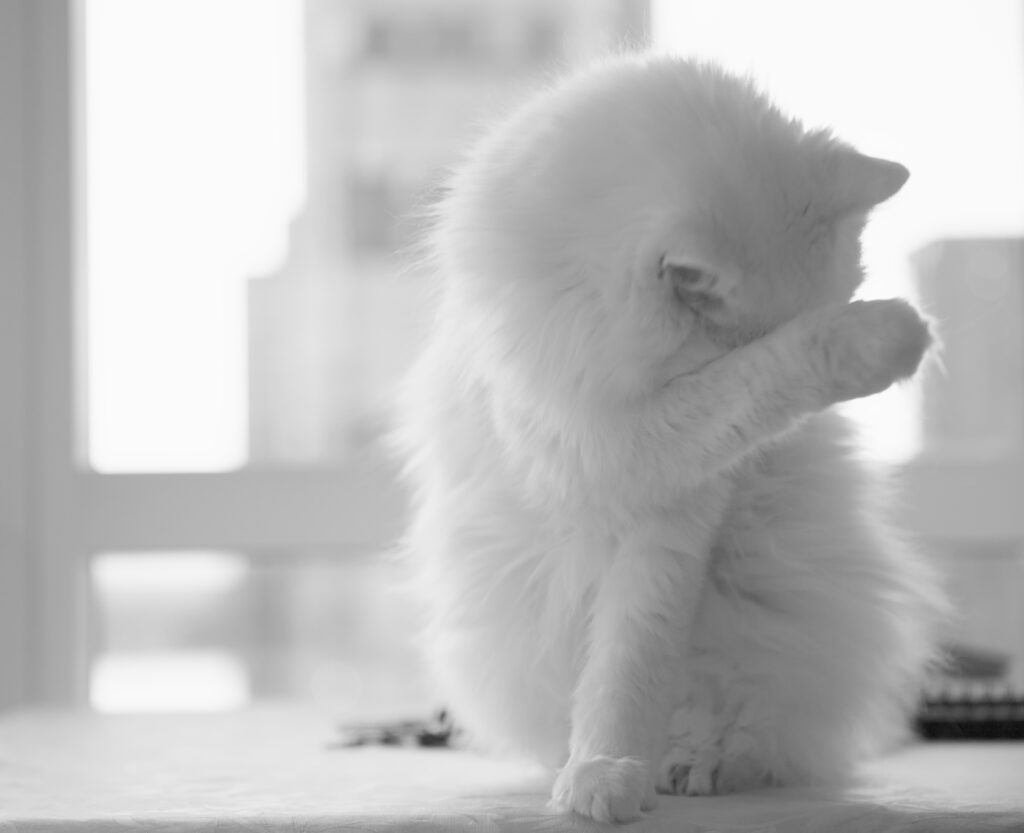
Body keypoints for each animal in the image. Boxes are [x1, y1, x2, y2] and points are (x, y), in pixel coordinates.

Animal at [389, 55, 942, 823]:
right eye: (733, 338)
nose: (771, 452)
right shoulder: (619, 450)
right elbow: (770, 375)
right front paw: (603, 777)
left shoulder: (671, 515)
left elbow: (632, 660)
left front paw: (611, 772)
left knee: (745, 734)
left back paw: (693, 767)